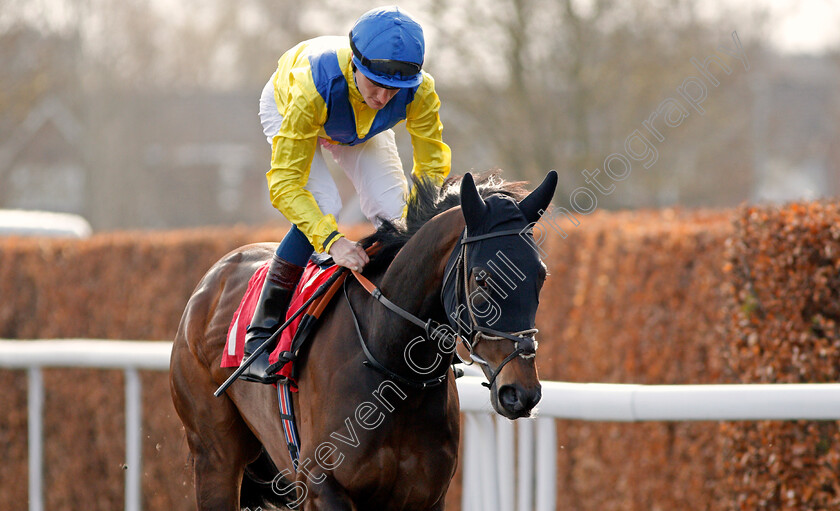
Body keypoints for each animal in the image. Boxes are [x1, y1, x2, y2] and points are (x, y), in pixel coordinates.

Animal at [171, 170, 556, 510]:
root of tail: (211, 278)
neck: (393, 368)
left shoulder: (425, 496)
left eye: (540, 275)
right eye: (481, 278)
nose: (520, 393)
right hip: (214, 456)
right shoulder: (323, 488)